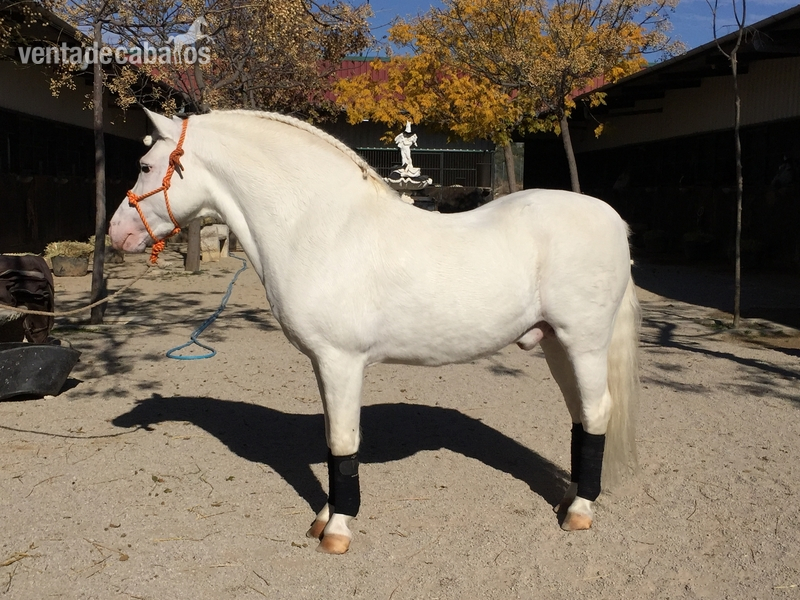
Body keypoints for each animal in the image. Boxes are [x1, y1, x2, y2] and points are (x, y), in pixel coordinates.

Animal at [109, 109, 641, 554]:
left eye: (144, 165)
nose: (117, 235)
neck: (319, 228)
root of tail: (611, 218)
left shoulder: (341, 360)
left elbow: (343, 441)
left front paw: (338, 530)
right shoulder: (324, 364)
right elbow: (331, 438)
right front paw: (323, 517)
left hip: (583, 343)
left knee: (597, 412)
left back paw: (579, 512)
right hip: (555, 344)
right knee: (581, 416)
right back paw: (570, 497)